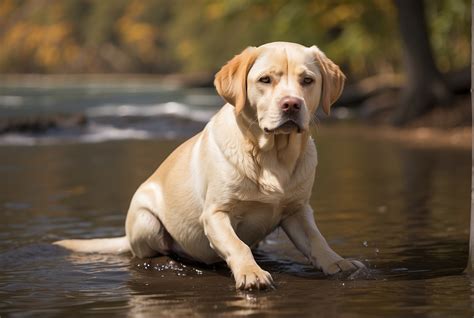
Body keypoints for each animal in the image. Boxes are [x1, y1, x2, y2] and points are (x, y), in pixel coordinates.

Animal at [56, 42, 366, 290]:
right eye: (265, 79)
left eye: (307, 80)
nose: (291, 104)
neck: (272, 156)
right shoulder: (216, 213)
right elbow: (237, 245)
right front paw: (251, 273)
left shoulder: (297, 211)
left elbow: (316, 240)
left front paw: (338, 263)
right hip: (146, 220)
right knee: (149, 253)